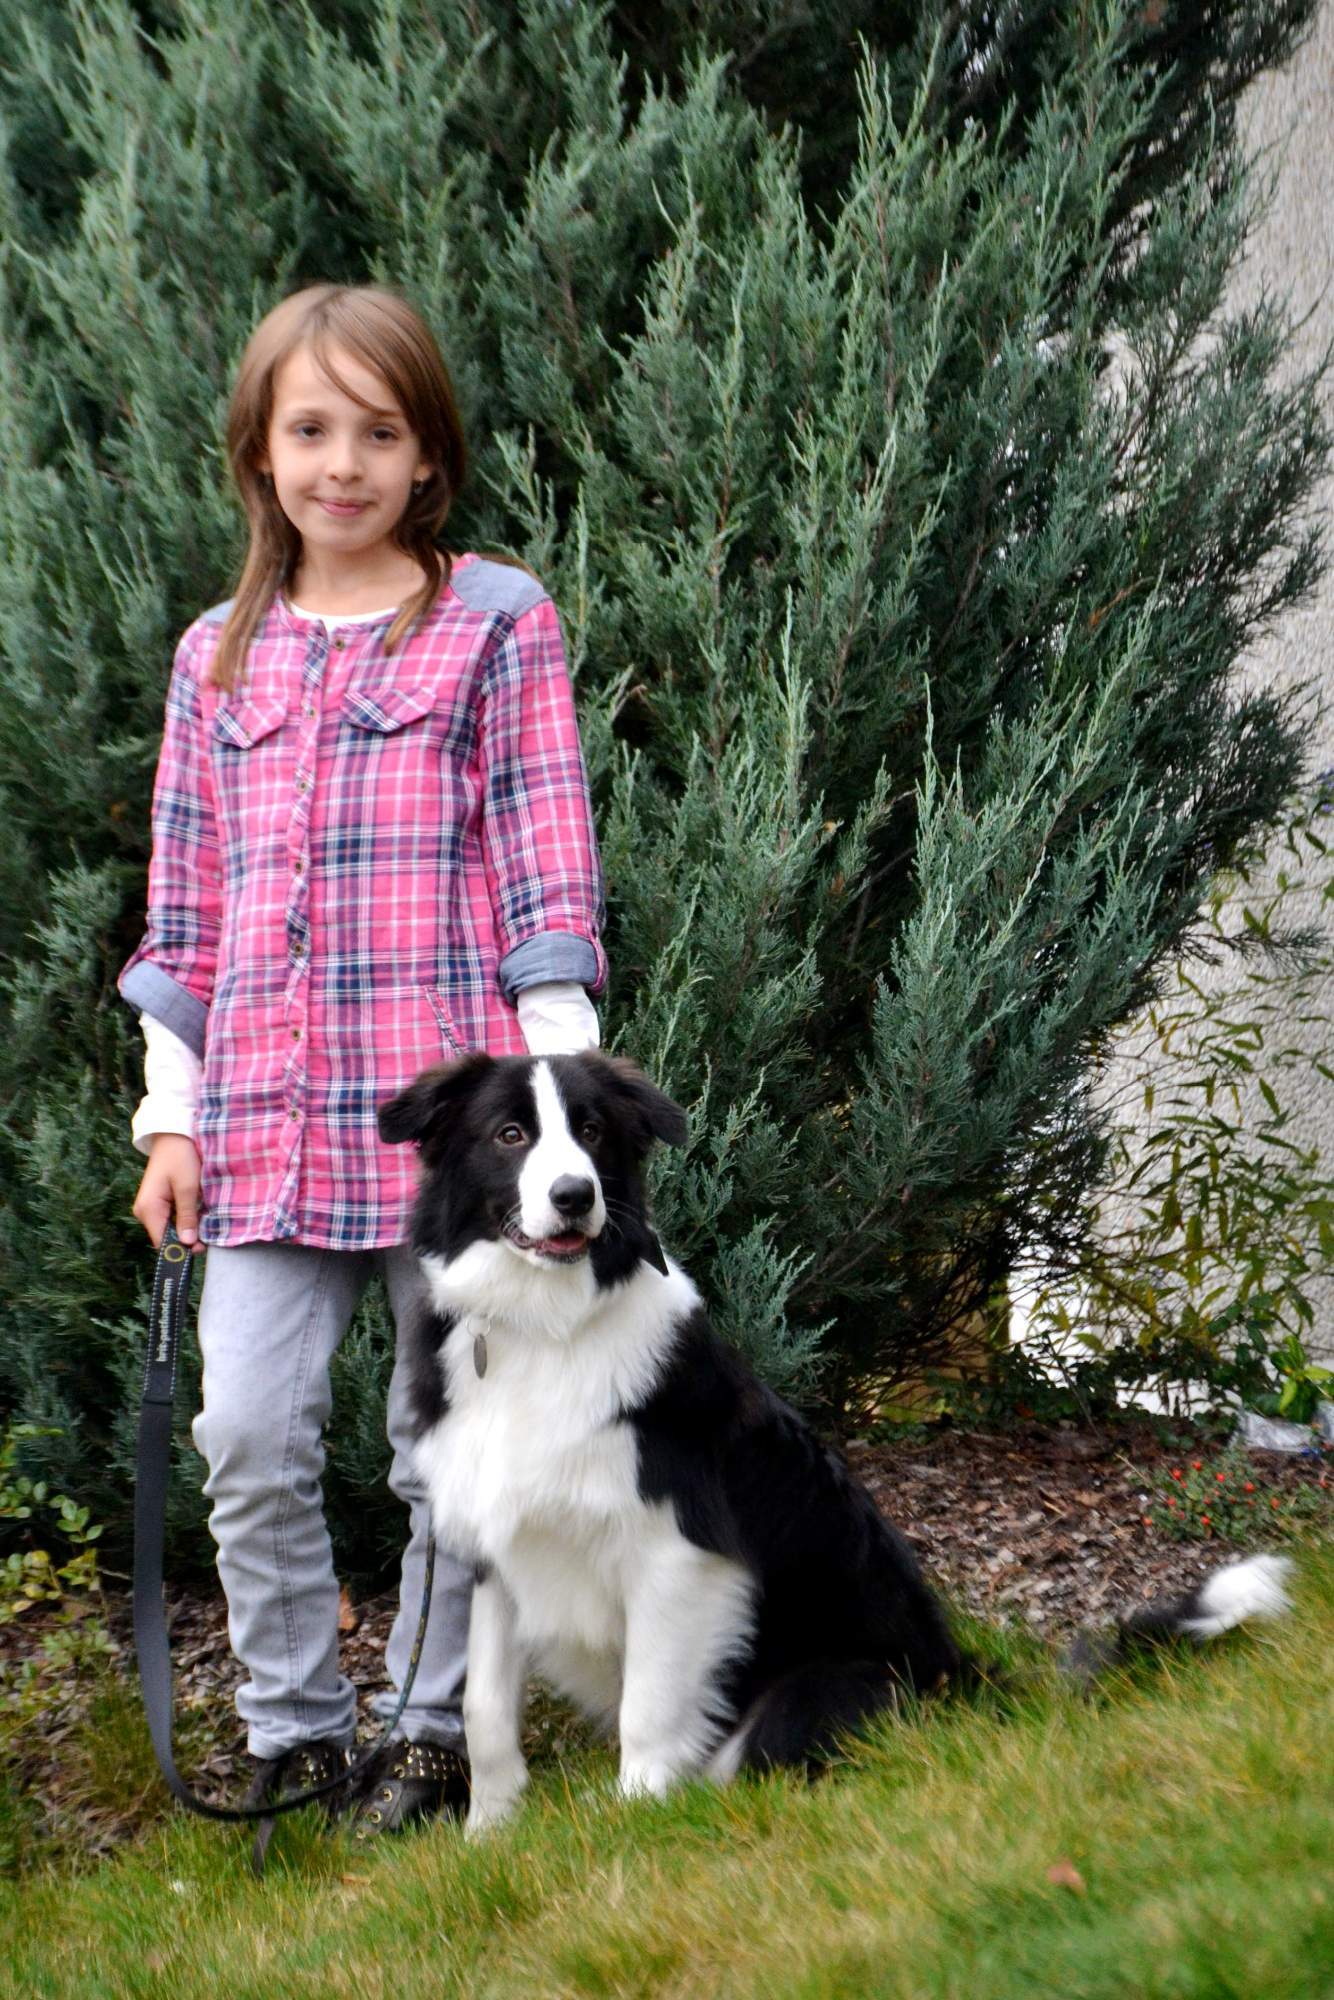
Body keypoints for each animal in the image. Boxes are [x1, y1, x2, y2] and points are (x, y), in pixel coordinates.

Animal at [378, 1050, 1294, 1834]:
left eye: (594, 1131)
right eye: (510, 1134)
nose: (574, 1196)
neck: (544, 1329)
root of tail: (964, 1679)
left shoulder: (679, 1553)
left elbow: (649, 1703)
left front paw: (637, 1816)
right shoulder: (493, 1542)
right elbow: (485, 1708)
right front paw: (489, 1835)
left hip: (814, 1694)